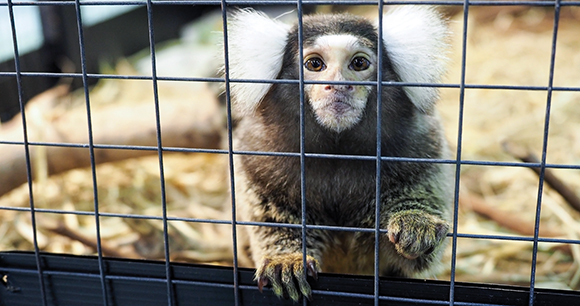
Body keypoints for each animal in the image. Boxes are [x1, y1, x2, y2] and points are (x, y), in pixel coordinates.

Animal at [225, 5, 454, 302]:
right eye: (315, 64)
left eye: (359, 63)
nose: (338, 85)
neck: (337, 148)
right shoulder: (256, 157)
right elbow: (273, 221)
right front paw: (286, 260)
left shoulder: (423, 147)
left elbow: (415, 256)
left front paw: (415, 223)